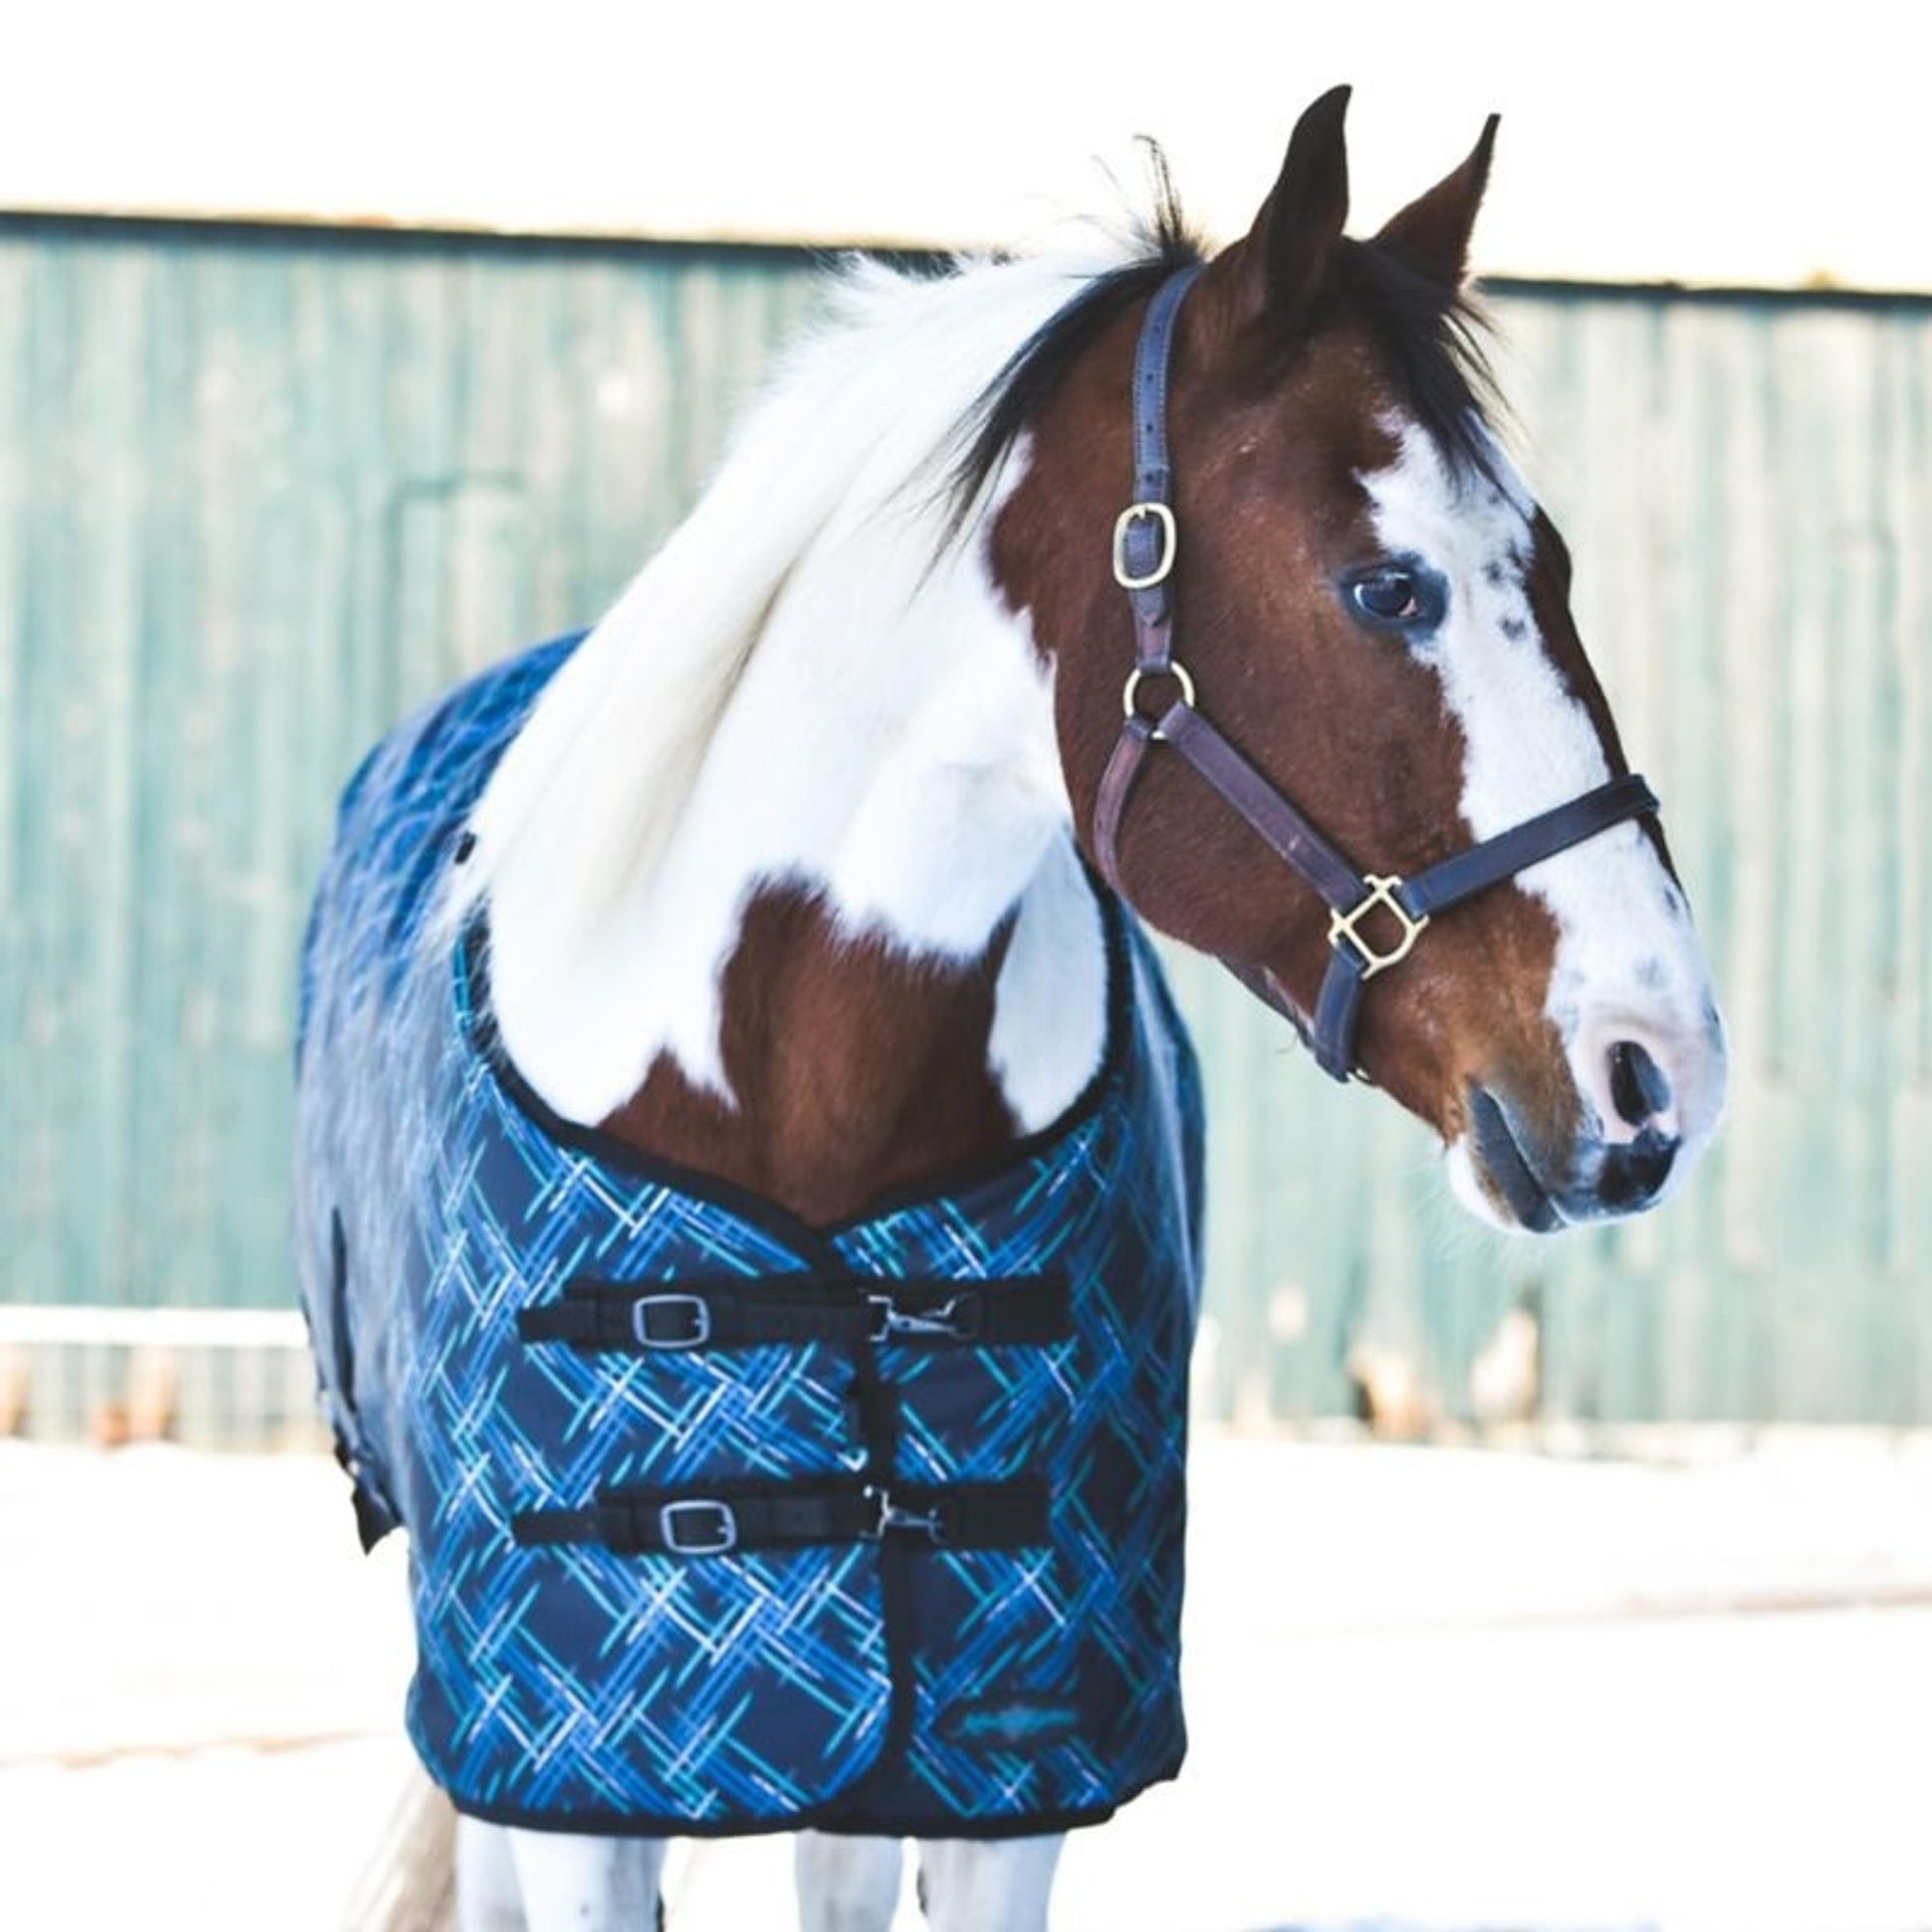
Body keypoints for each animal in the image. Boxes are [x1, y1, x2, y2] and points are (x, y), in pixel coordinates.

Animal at [295, 85, 1726, 1932]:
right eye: (1383, 587)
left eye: (1545, 563)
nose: (1657, 1069)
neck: (796, 1090)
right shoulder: (567, 1771)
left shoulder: (1001, 1762)